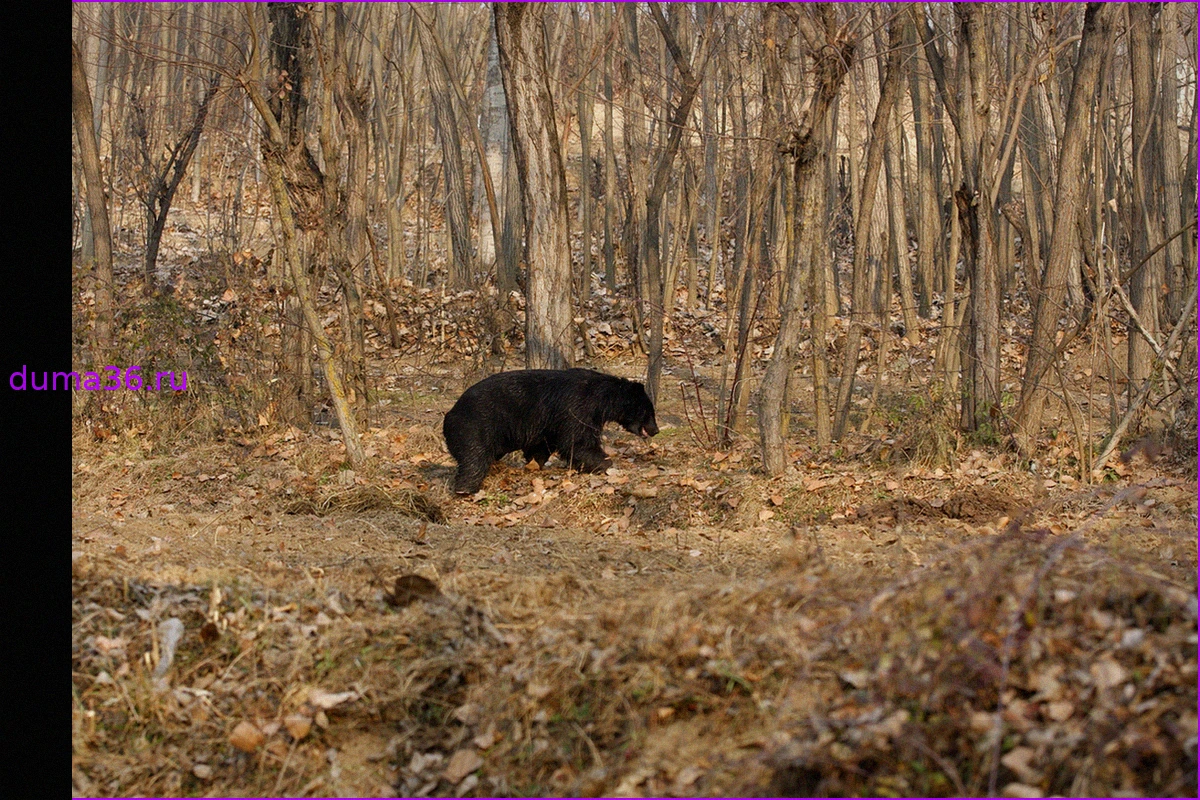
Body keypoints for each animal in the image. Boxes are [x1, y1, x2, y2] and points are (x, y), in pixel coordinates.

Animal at [442, 368, 658, 495]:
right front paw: (605, 463)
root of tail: (449, 414)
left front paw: (536, 464)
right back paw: (465, 489)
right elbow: (577, 441)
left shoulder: (549, 422)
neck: (602, 399)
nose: (655, 430)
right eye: (649, 412)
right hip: (475, 426)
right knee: (474, 458)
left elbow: (542, 445)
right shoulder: (576, 407)